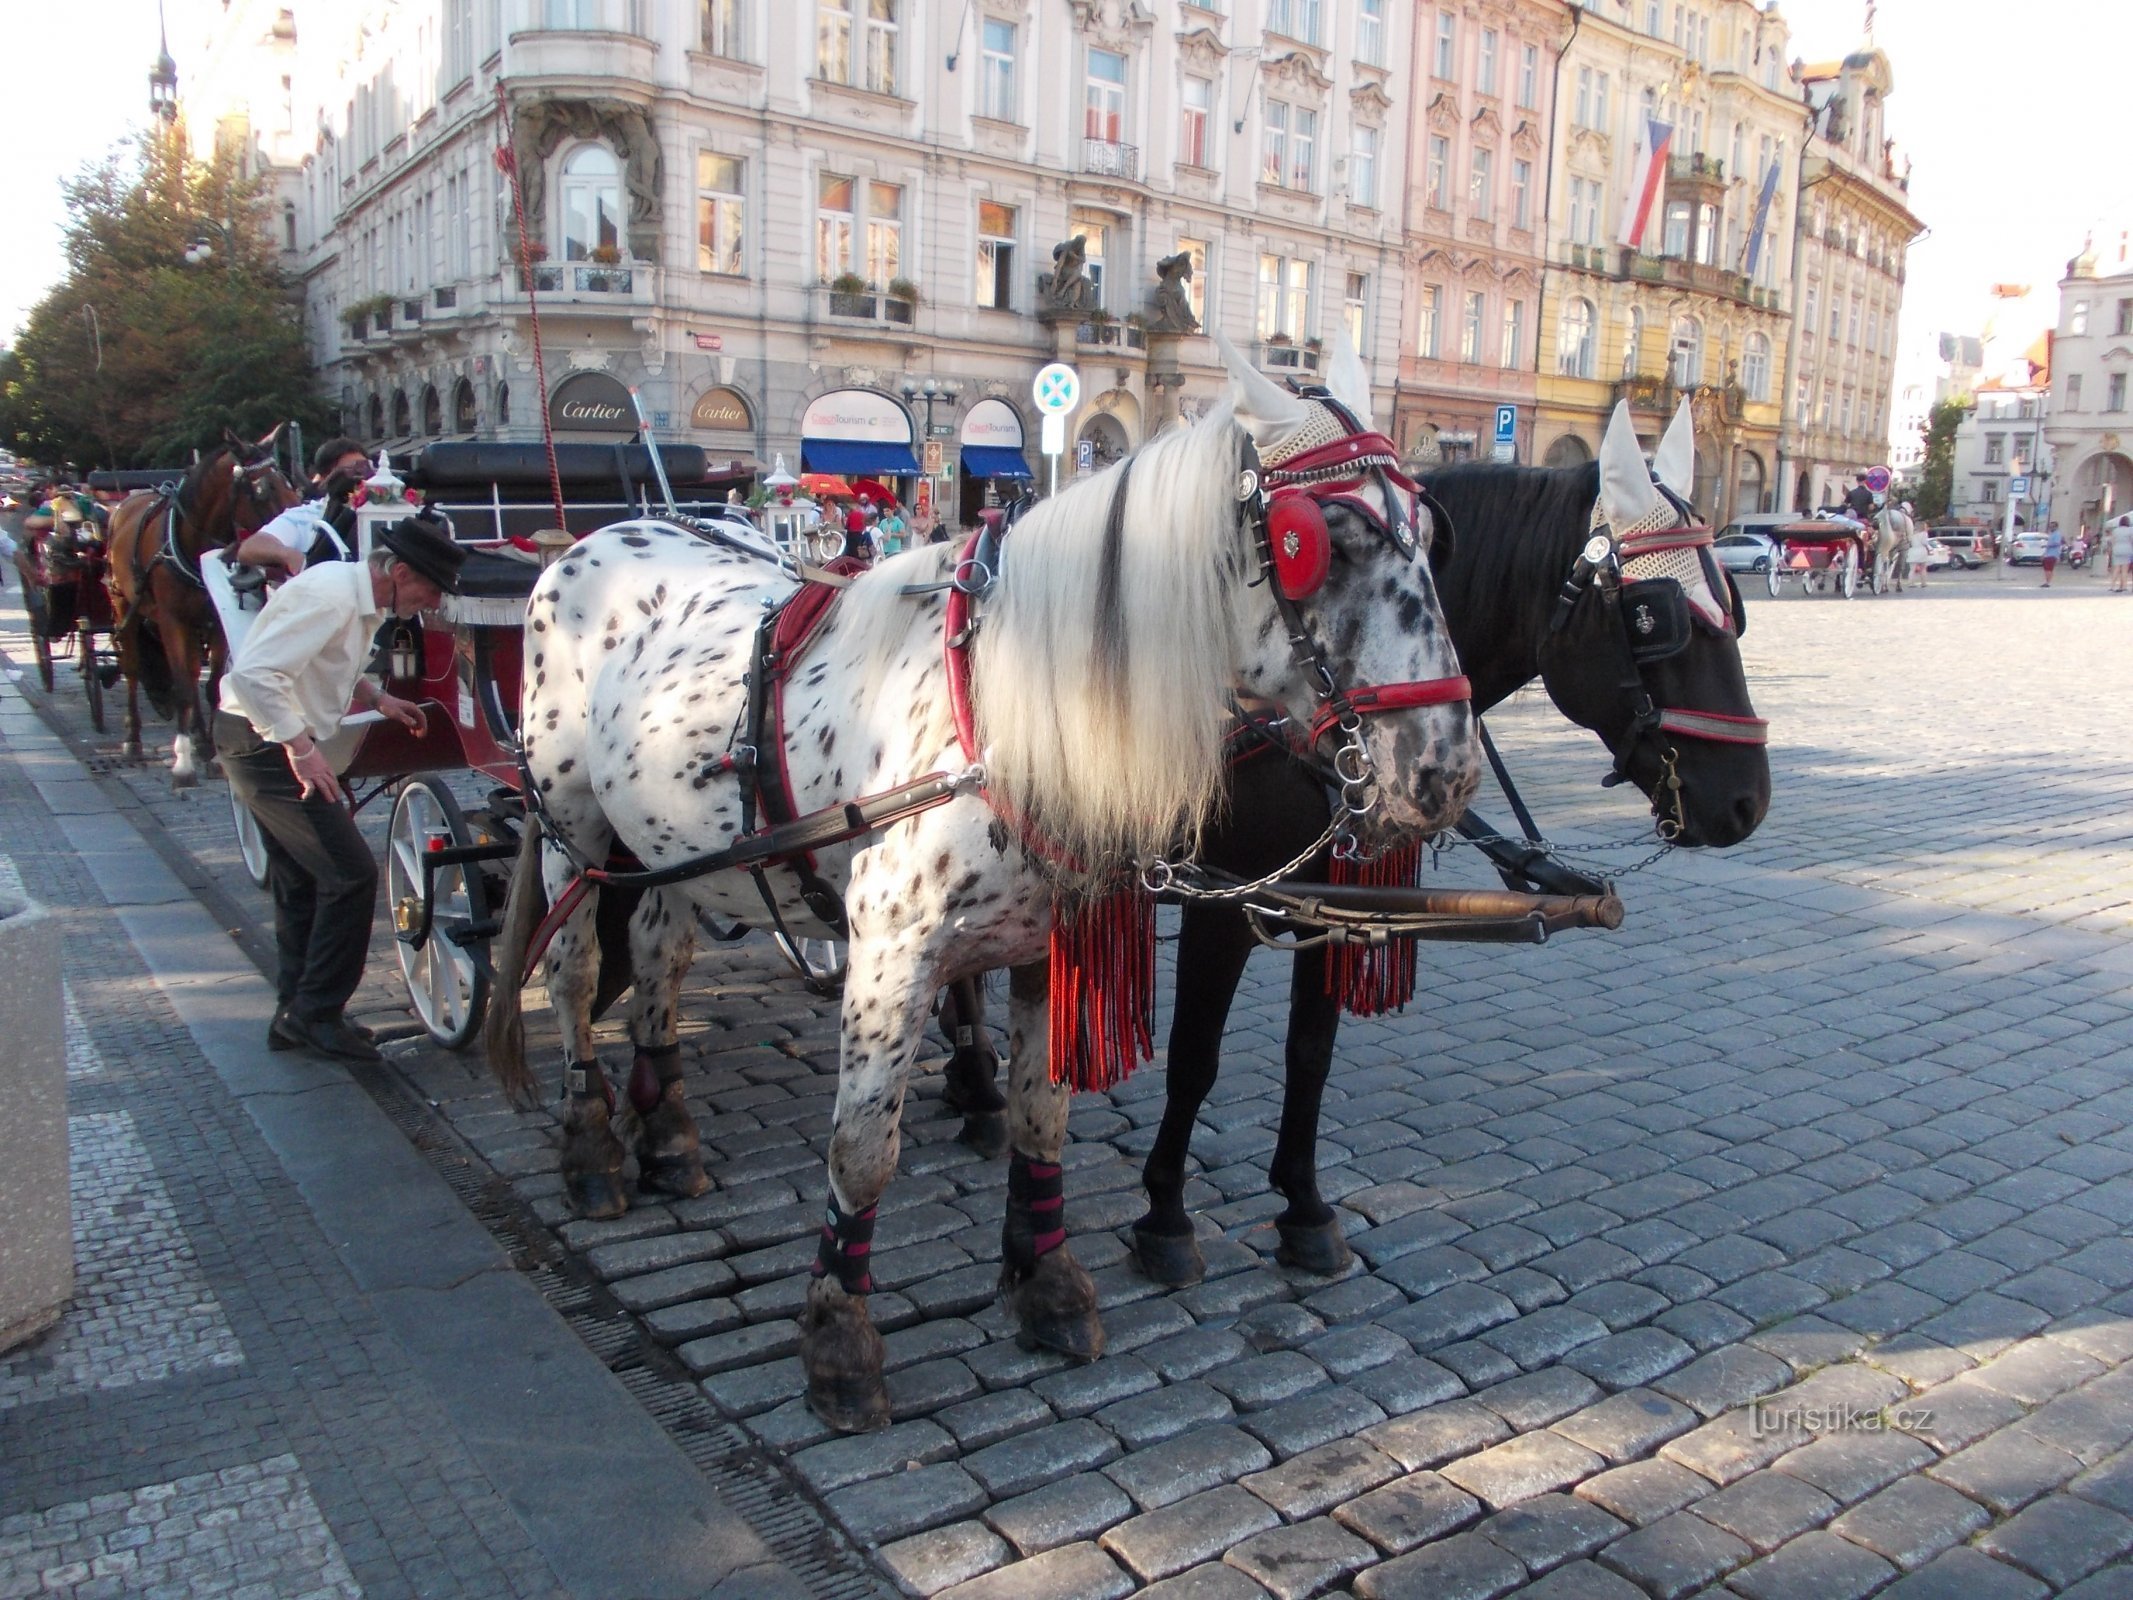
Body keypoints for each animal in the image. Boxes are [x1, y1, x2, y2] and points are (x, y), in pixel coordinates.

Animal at [106, 428, 296, 785]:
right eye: (261, 491)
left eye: (289, 484)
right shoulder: (172, 620)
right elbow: (182, 685)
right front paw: (183, 763)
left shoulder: (215, 622)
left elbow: (210, 687)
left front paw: (213, 754)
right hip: (125, 605)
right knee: (134, 668)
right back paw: (133, 739)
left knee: (194, 674)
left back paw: (198, 739)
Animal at [484, 334, 1484, 1425]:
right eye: (1323, 541)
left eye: (1433, 533)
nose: (1443, 771)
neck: (1006, 706)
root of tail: (610, 530)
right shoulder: (889, 958)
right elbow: (862, 1150)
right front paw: (838, 1339)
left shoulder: (1044, 944)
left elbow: (1040, 1114)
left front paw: (1044, 1281)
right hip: (570, 827)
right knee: (577, 976)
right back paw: (592, 1148)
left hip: (673, 846)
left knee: (659, 959)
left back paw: (664, 1130)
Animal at [942, 398, 1774, 1288]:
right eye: (1653, 616)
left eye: (1734, 603)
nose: (1746, 801)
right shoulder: (1219, 899)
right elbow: (1195, 1057)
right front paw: (1165, 1214)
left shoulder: (1330, 902)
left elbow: (1310, 1050)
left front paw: (1303, 1209)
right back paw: (978, 1085)